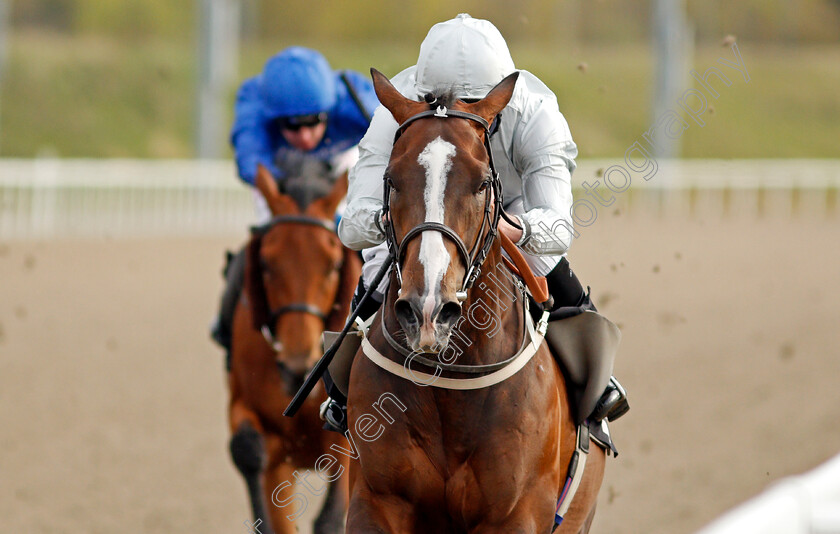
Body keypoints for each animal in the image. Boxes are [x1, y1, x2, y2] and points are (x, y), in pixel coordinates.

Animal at [230, 165, 360, 532]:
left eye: (333, 265)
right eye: (266, 264)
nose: (296, 367)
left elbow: (331, 516)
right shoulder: (253, 417)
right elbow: (246, 449)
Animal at [344, 72, 608, 534]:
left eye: (483, 182)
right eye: (392, 179)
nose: (428, 310)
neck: (449, 385)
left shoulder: (515, 512)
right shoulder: (375, 500)